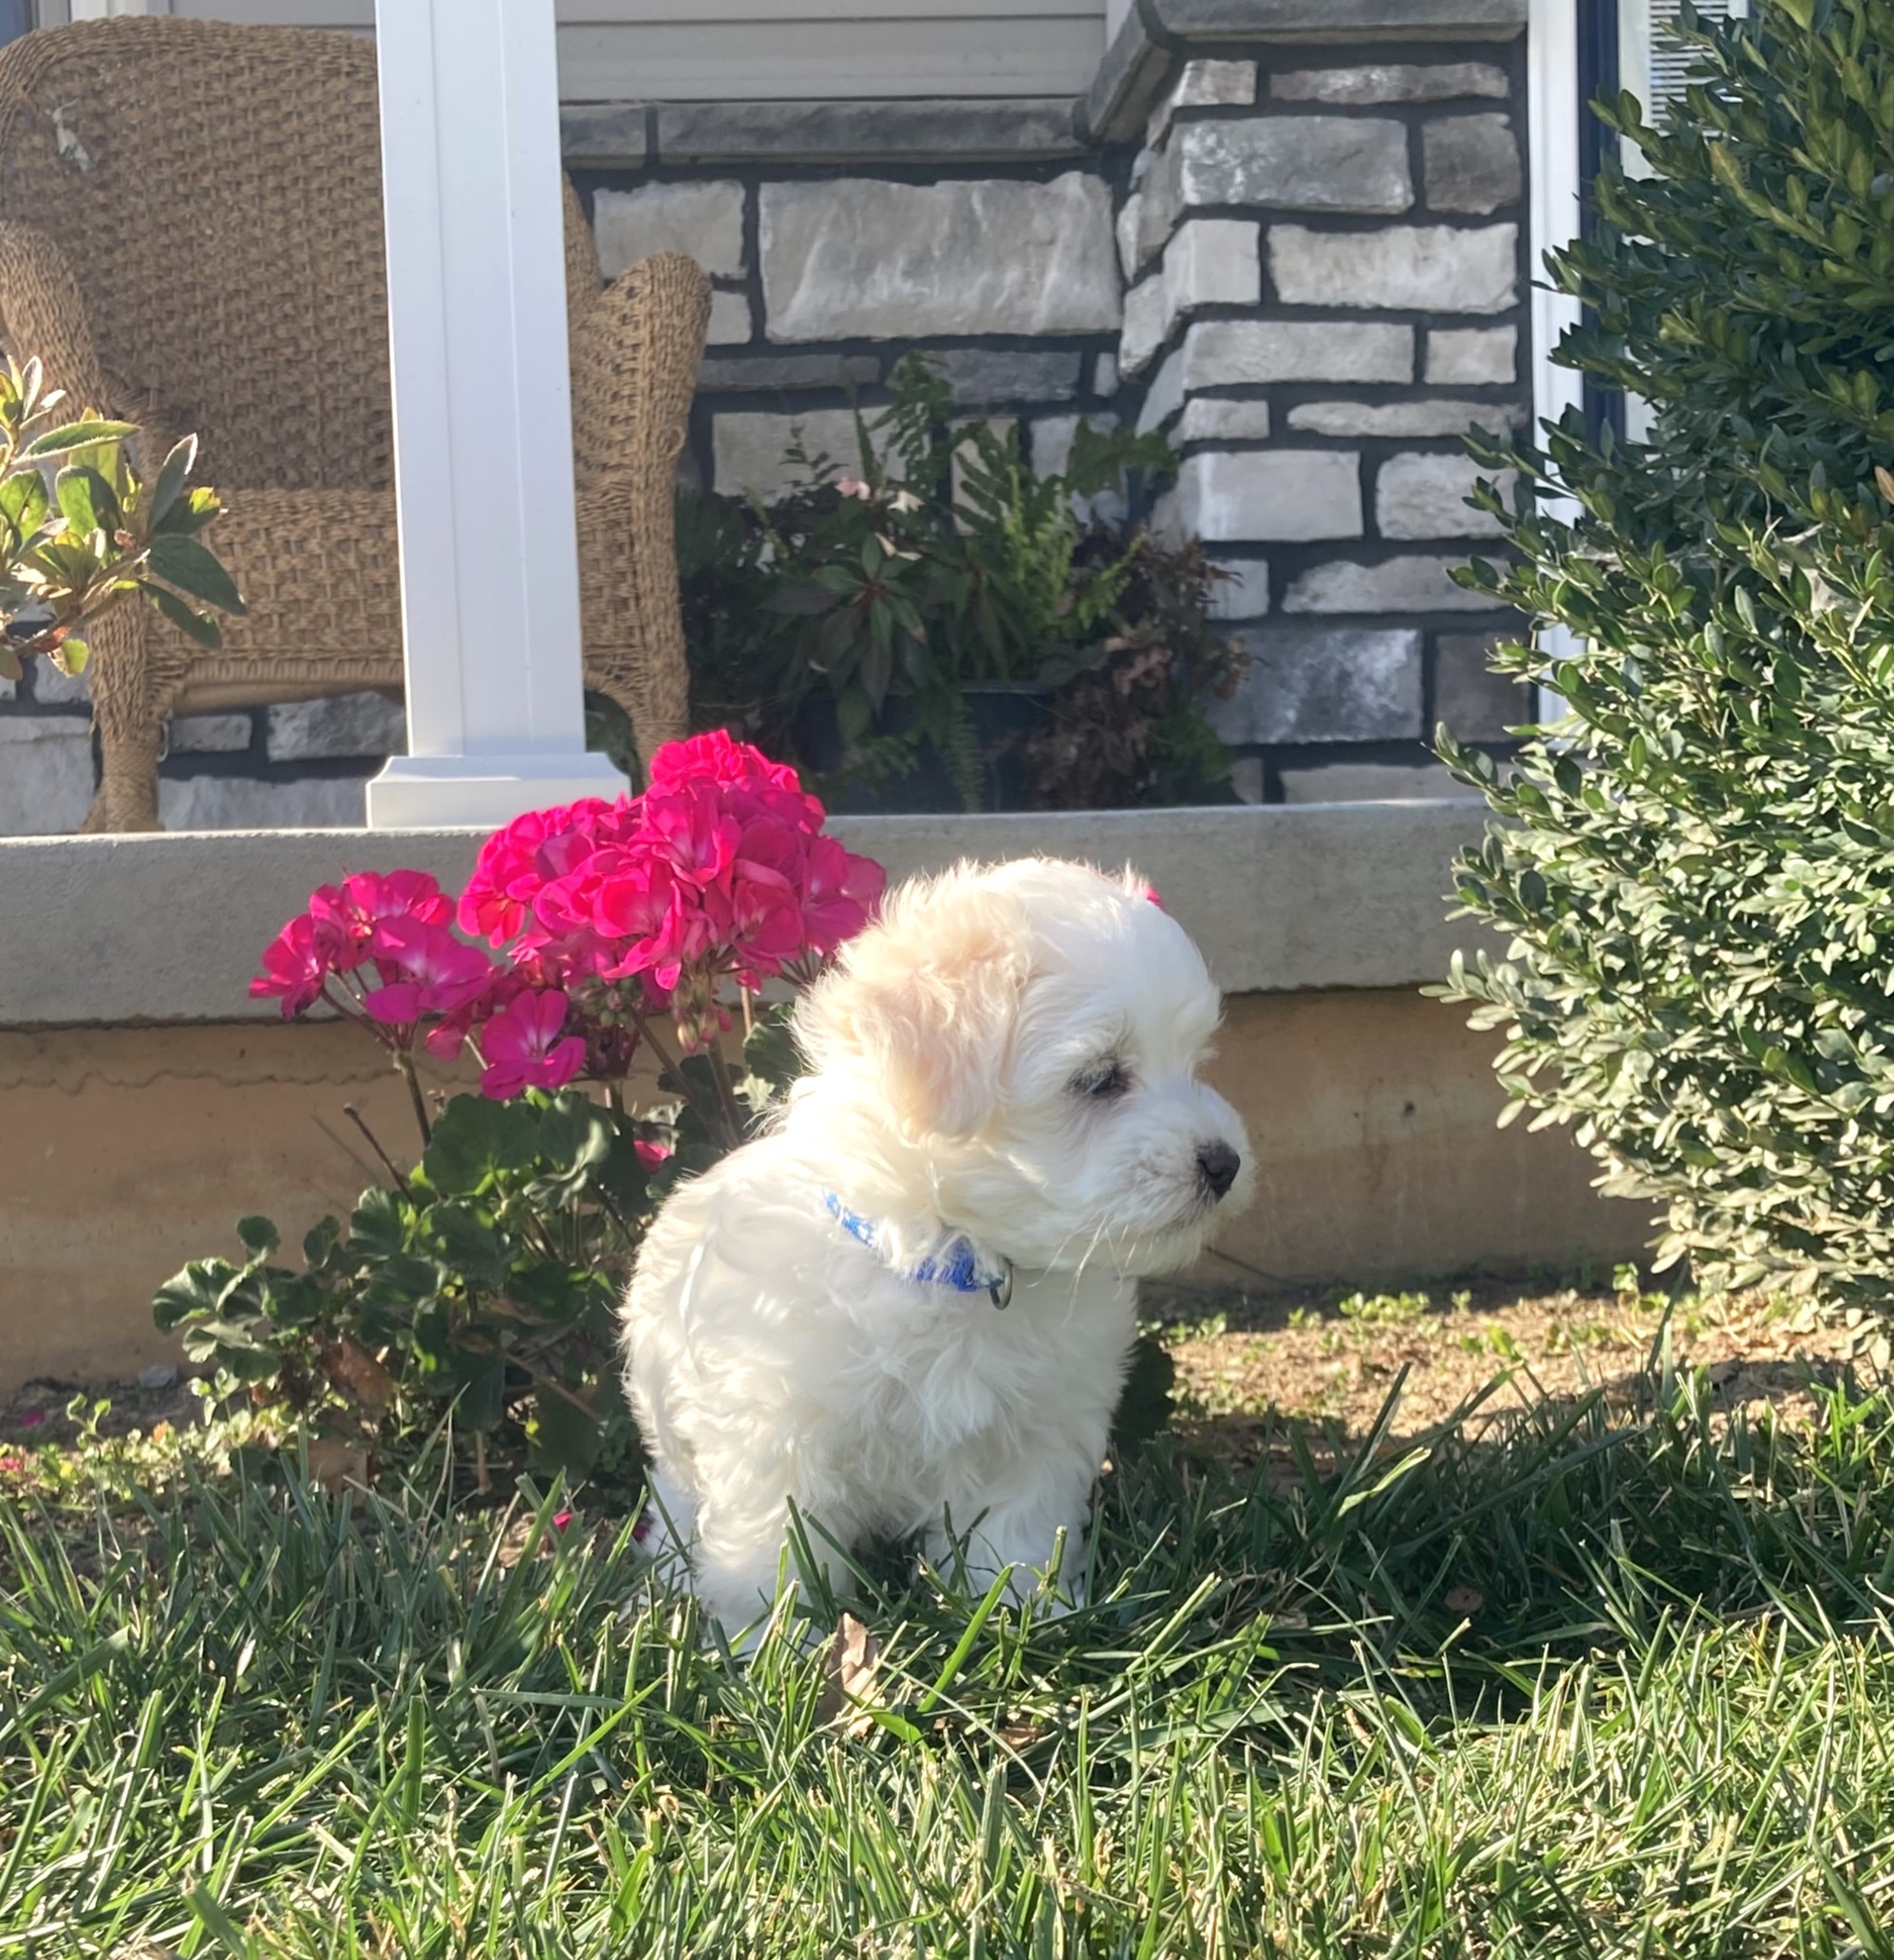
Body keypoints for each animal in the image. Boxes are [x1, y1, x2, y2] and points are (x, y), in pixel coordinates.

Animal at [615, 858, 1254, 1638]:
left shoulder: (1036, 1431)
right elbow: (772, 1550)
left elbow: (1016, 1532)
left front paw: (1021, 1611)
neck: (953, 1263)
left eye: (1193, 1061)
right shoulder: (777, 1434)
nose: (1223, 1162)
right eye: (1100, 1078)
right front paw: (772, 1641)